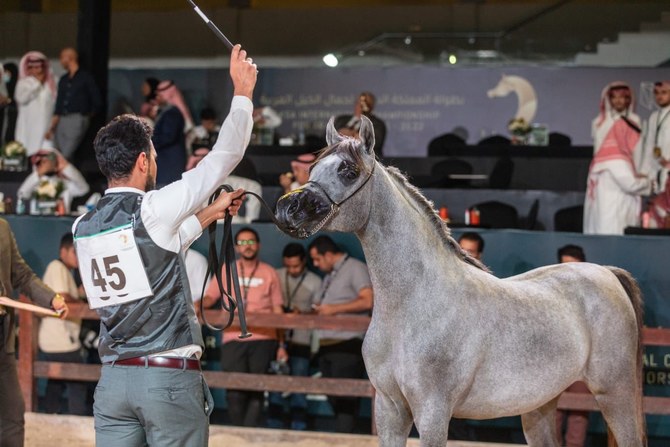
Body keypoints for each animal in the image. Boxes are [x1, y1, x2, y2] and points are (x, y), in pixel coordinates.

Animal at [276, 116, 648, 447]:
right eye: (312, 169)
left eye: (348, 171)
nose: (287, 208)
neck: (414, 305)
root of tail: (607, 272)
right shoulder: (390, 409)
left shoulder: (433, 413)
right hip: (540, 406)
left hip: (615, 393)